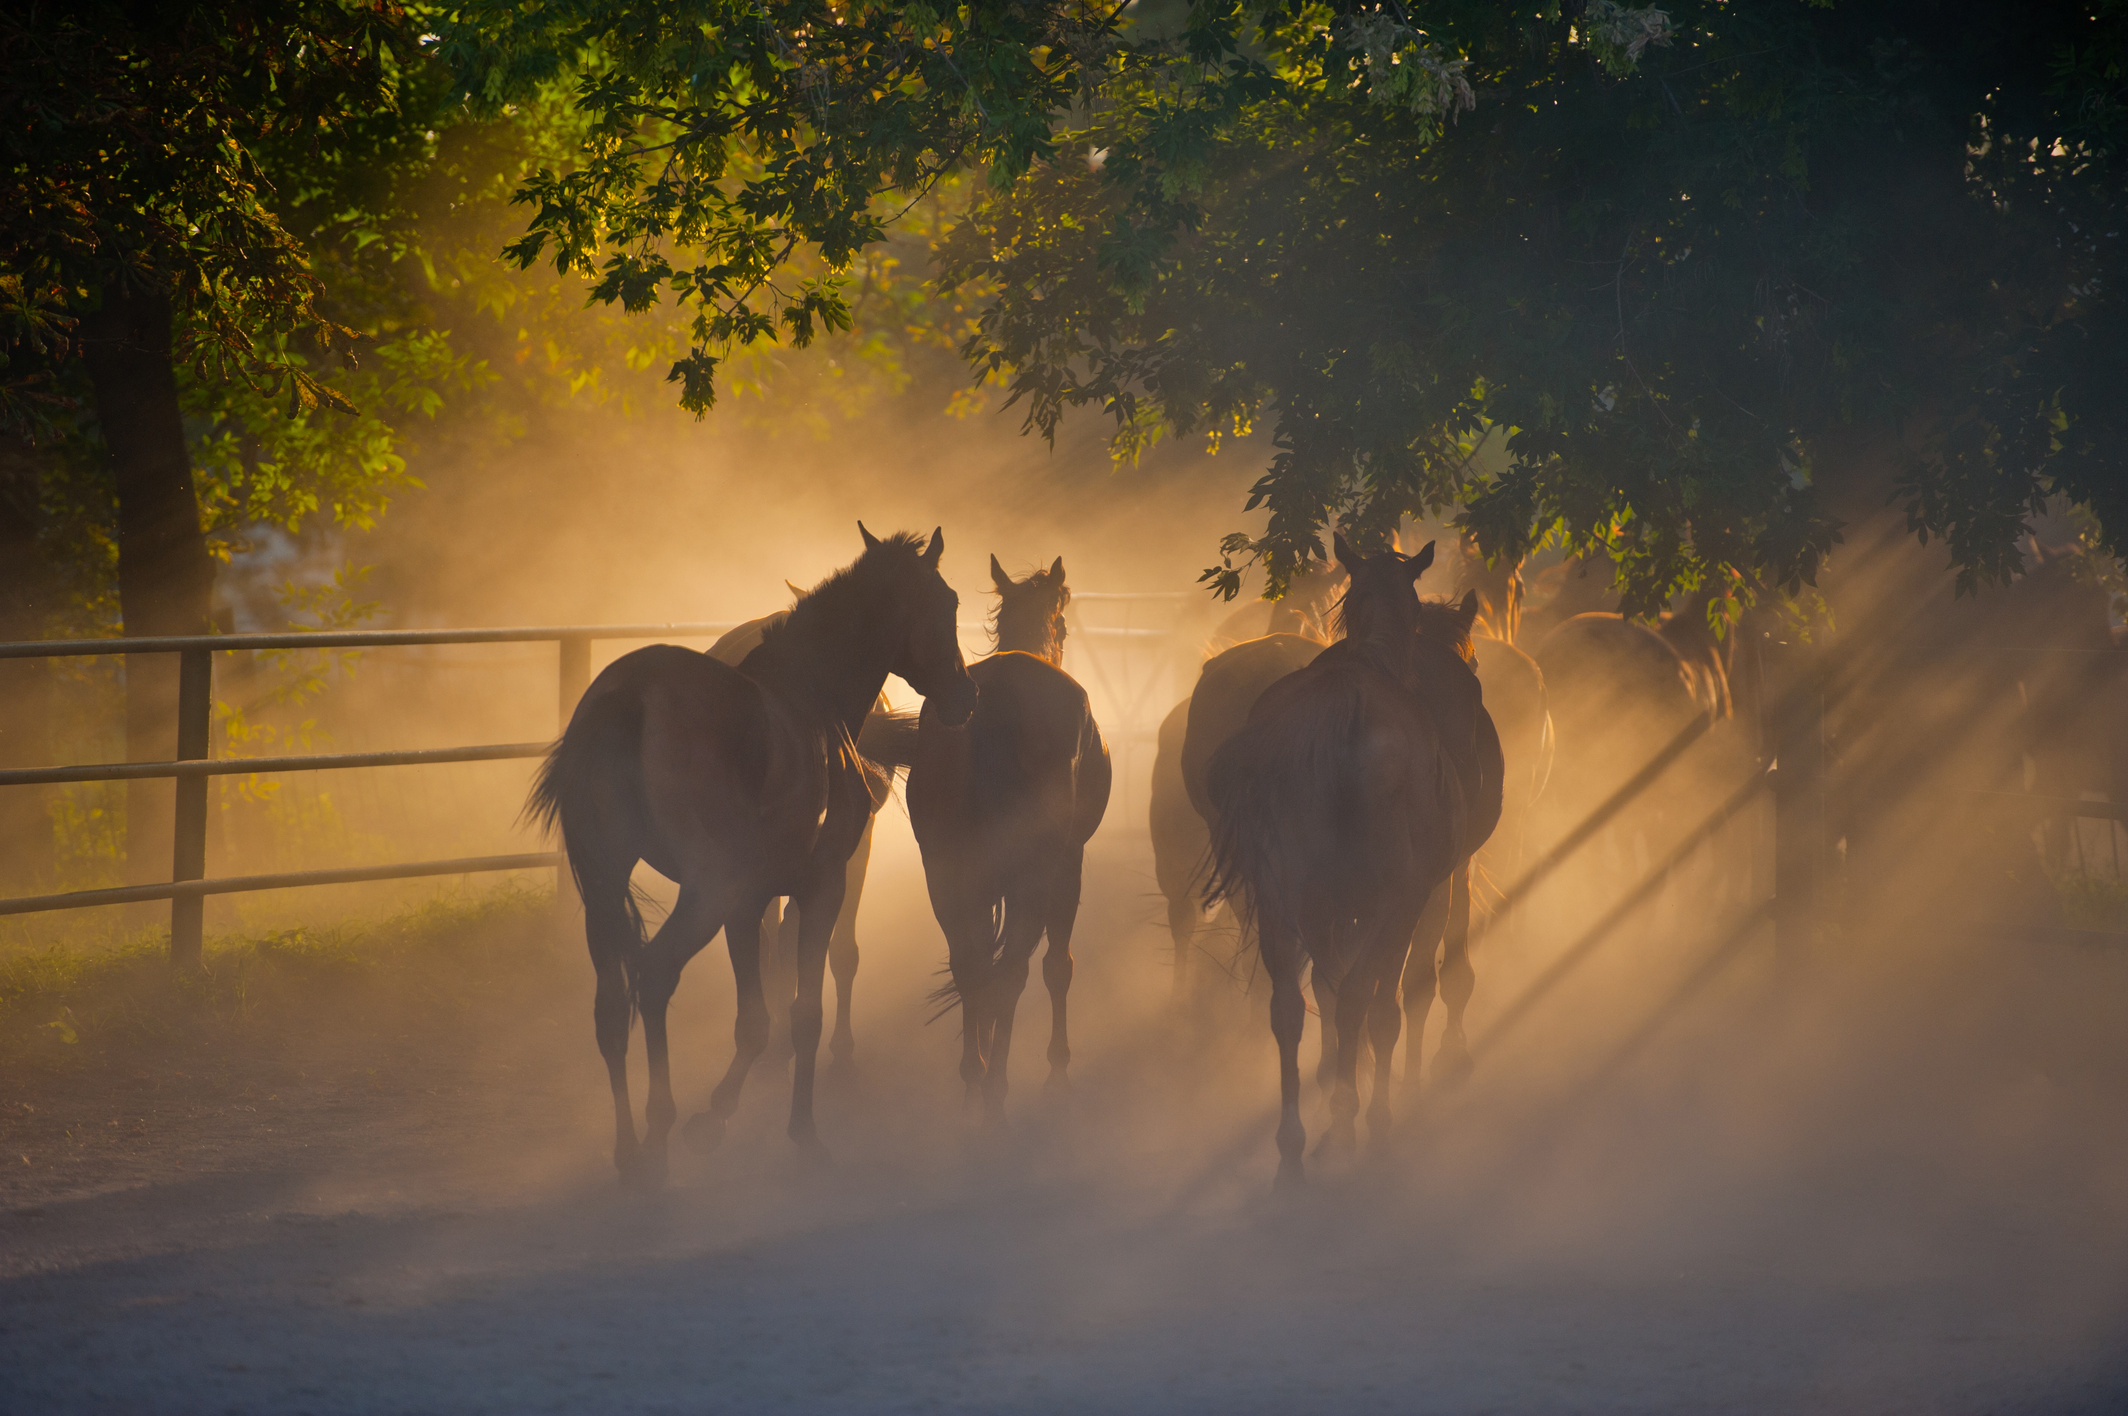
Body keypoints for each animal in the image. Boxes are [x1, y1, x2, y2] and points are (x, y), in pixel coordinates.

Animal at [528, 526, 978, 1183]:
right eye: (946, 602)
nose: (966, 695)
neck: (812, 701)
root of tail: (632, 697)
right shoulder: (819, 887)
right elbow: (803, 1013)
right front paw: (797, 1133)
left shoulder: (750, 902)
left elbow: (756, 1021)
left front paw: (716, 1118)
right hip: (704, 893)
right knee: (655, 975)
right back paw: (658, 1138)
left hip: (609, 887)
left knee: (611, 1007)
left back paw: (630, 1150)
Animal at [907, 554, 1111, 1118]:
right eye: (1062, 624)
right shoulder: (1068, 865)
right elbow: (1056, 966)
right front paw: (1057, 1069)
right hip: (1033, 874)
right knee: (1014, 969)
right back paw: (996, 1085)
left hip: (944, 872)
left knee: (969, 965)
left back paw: (975, 1077)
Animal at [1207, 536, 1501, 1187]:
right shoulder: (1417, 893)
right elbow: (1392, 999)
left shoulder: (1330, 913)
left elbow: (1331, 990)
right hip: (1392, 901)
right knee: (1368, 1000)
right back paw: (1358, 1126)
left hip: (1281, 901)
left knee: (1291, 1008)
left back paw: (1294, 1146)